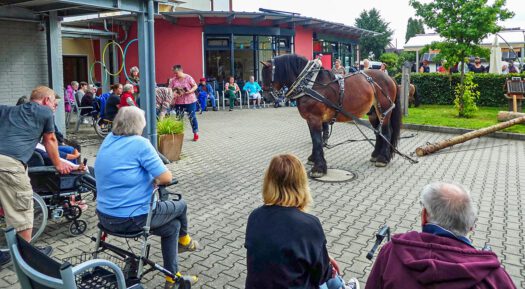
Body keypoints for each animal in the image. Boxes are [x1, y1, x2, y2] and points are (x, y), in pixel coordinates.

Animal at [260, 53, 400, 177]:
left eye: (266, 74)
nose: (265, 98)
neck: (310, 84)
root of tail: (390, 78)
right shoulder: (313, 119)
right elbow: (316, 139)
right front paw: (313, 158)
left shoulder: (314, 118)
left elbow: (317, 140)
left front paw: (319, 168)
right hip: (373, 113)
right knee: (378, 132)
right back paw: (376, 155)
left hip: (384, 111)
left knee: (386, 132)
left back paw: (383, 159)